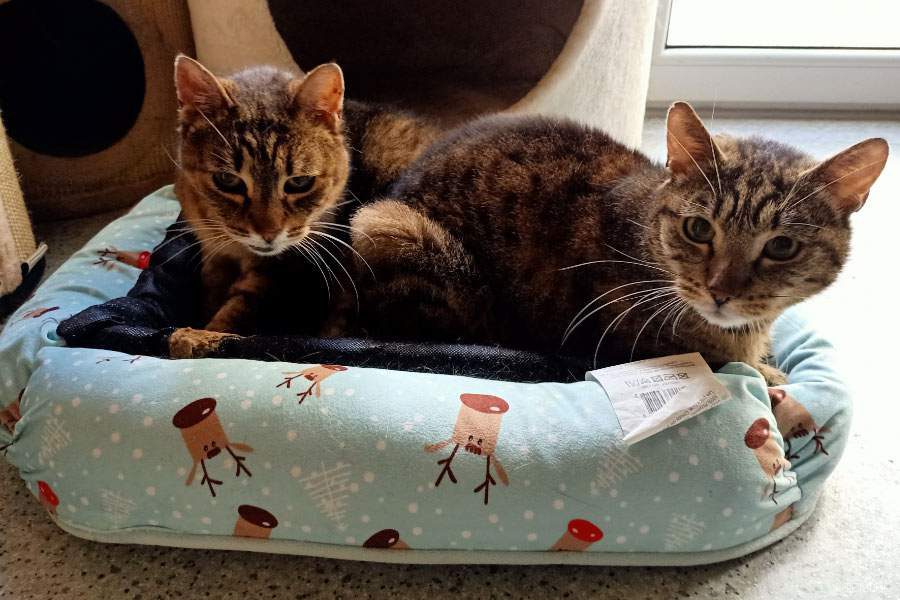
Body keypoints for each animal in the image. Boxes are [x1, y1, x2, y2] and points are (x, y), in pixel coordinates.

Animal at [169, 56, 440, 357]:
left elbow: (241, 305)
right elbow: (210, 281)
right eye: (227, 180)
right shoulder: (213, 252)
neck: (236, 249)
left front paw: (200, 335)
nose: (268, 234)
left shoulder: (281, 273)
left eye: (299, 182)